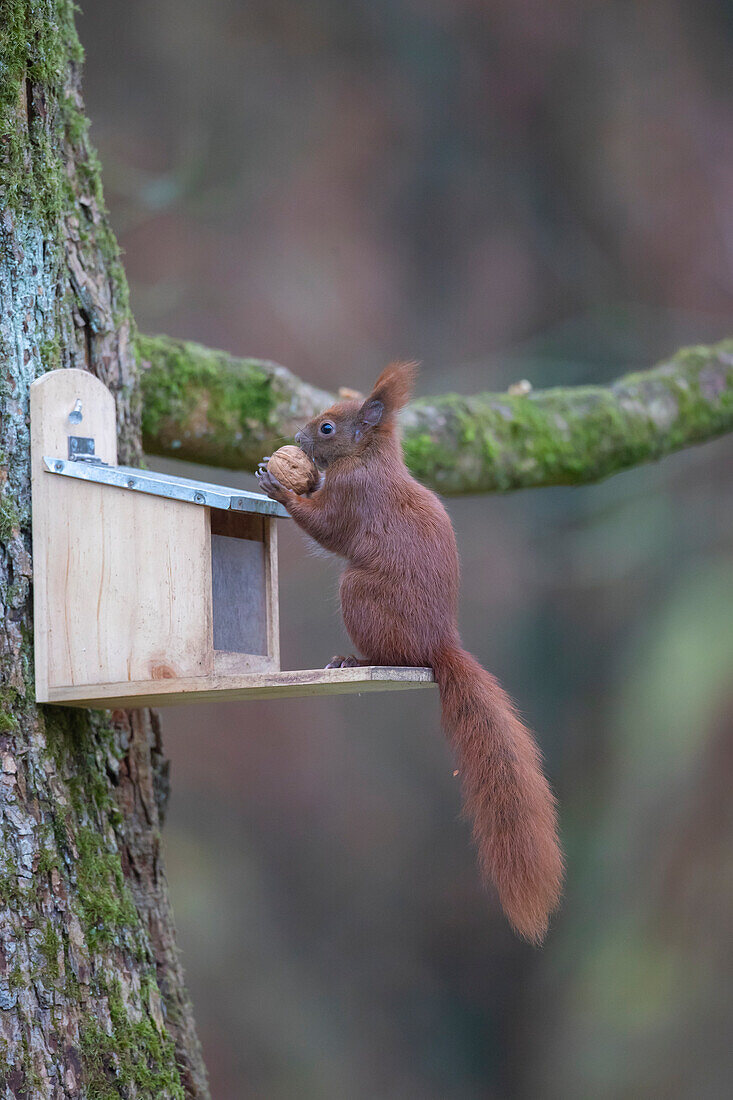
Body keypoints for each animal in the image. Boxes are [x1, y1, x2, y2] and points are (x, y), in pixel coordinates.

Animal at [256, 363, 559, 946]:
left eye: (327, 427)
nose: (299, 437)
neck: (369, 457)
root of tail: (439, 645)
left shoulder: (354, 494)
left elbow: (327, 527)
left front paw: (279, 484)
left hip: (359, 596)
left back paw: (353, 662)